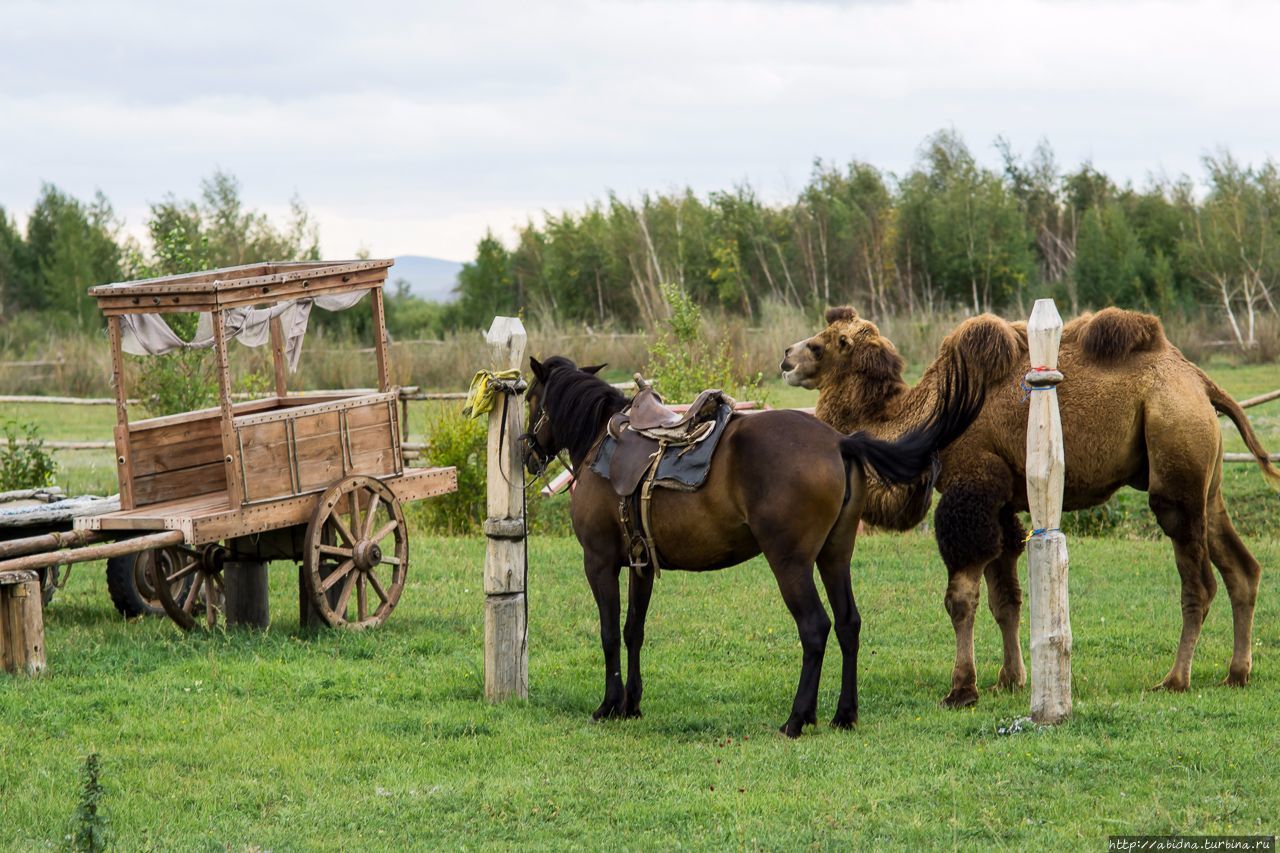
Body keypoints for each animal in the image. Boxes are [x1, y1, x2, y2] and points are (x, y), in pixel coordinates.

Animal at [519, 356, 977, 732]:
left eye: (530, 397)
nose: (527, 453)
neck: (602, 442)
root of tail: (839, 441)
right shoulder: (641, 565)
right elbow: (634, 631)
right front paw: (632, 704)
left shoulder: (598, 562)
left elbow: (610, 633)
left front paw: (609, 706)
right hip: (834, 556)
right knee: (848, 623)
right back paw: (843, 715)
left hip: (789, 562)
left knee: (815, 627)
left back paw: (797, 718)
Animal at [778, 306, 1280, 701]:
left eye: (822, 344)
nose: (786, 357)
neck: (927, 419)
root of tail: (1199, 380)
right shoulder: (1000, 502)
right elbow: (1006, 598)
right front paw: (1010, 678)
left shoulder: (972, 488)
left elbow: (961, 597)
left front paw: (962, 687)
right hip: (1204, 478)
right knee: (1242, 568)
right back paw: (1237, 673)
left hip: (1175, 461)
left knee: (1199, 582)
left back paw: (1175, 679)